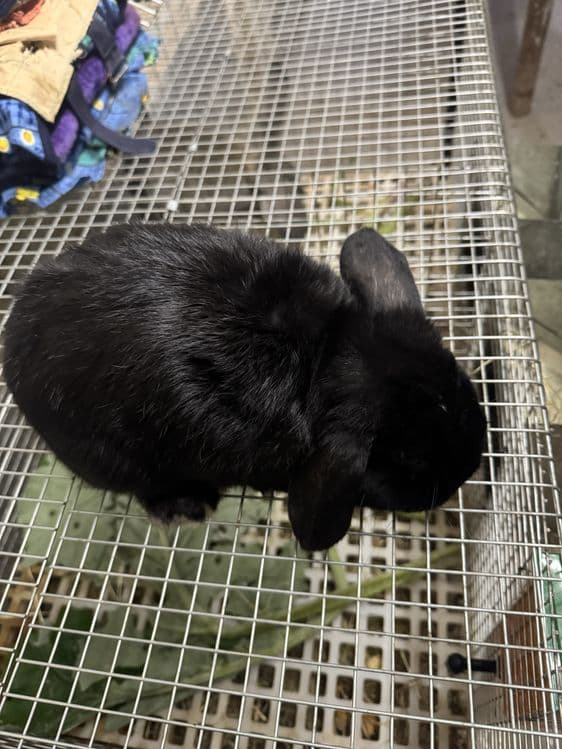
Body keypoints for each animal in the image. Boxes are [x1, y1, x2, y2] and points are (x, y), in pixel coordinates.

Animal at [3, 223, 486, 551]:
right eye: (408, 459)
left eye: (462, 384)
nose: (464, 474)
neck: (326, 356)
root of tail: (13, 347)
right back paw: (189, 506)